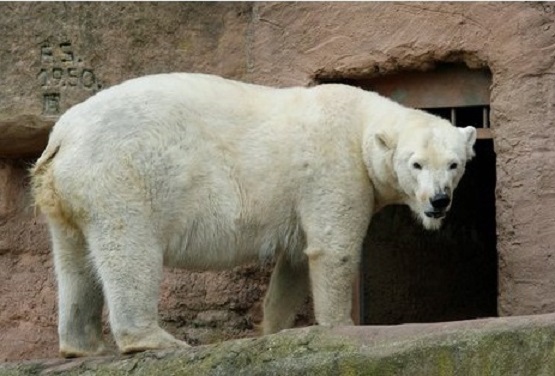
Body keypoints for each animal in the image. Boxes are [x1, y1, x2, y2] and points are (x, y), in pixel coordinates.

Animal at [30, 72, 476, 356]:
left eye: (454, 164)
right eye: (416, 164)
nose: (440, 200)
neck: (360, 122)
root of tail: (62, 136)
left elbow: (295, 263)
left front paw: (273, 330)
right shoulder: (334, 169)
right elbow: (333, 249)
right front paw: (340, 327)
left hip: (66, 191)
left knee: (74, 259)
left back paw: (81, 346)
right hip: (121, 174)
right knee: (129, 249)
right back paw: (155, 339)